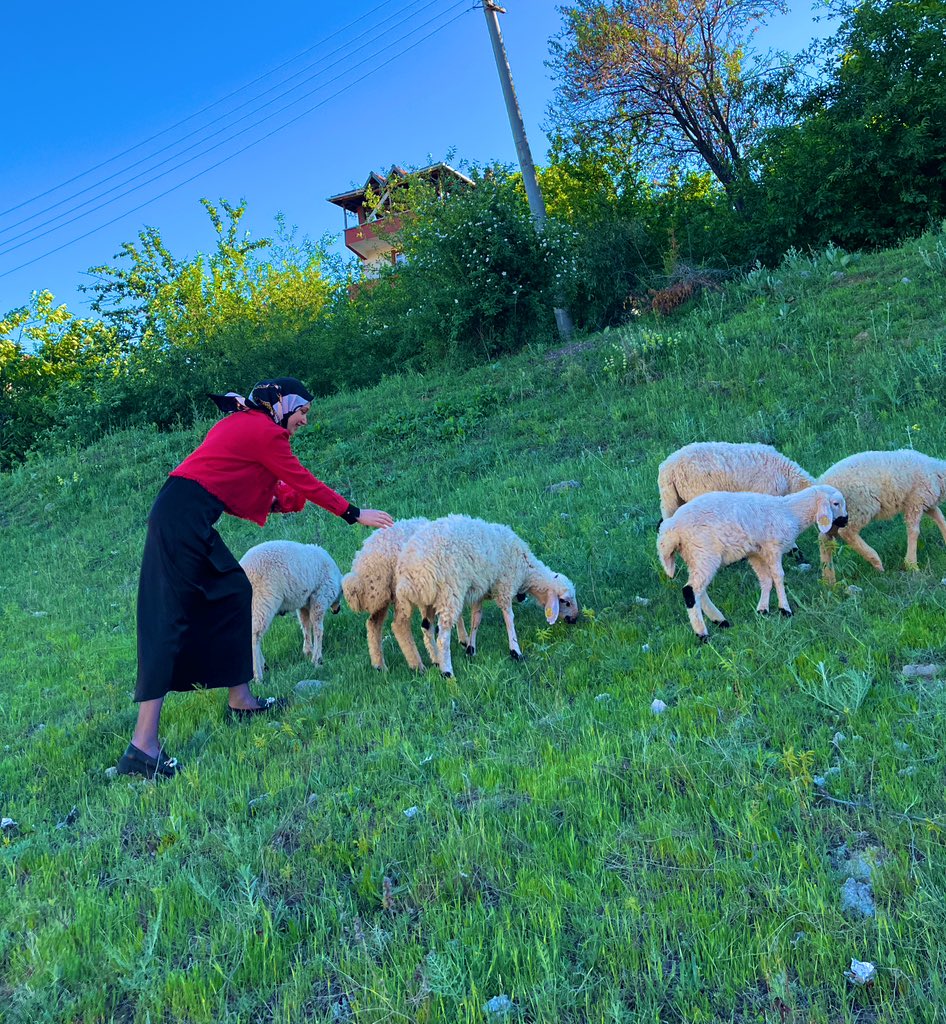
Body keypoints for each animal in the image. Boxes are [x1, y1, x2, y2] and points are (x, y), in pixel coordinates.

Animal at [238, 540, 341, 684]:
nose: (337, 610)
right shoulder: (319, 596)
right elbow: (318, 629)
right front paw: (317, 660)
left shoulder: (305, 603)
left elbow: (305, 626)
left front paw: (308, 651)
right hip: (262, 600)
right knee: (254, 635)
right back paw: (257, 676)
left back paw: (263, 667)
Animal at [389, 516, 577, 675]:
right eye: (564, 602)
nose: (575, 619)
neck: (526, 569)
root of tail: (408, 572)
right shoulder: (504, 586)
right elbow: (509, 618)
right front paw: (515, 651)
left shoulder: (479, 592)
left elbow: (476, 619)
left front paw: (471, 649)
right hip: (449, 594)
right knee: (443, 637)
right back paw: (447, 672)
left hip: (427, 600)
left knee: (426, 628)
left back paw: (436, 661)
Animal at [659, 481, 851, 638]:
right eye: (836, 503)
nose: (845, 521)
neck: (790, 512)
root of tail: (672, 528)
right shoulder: (773, 547)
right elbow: (778, 577)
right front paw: (785, 609)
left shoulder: (756, 553)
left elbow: (766, 580)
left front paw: (762, 610)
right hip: (704, 552)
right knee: (690, 591)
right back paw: (702, 634)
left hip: (694, 555)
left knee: (699, 591)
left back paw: (720, 621)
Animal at [814, 450, 946, 585]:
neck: (937, 472)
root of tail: (821, 482)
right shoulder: (916, 501)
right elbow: (914, 531)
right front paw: (912, 564)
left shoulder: (927, 503)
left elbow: (941, 519)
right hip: (860, 506)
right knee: (846, 532)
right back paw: (875, 560)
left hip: (837, 516)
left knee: (824, 538)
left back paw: (829, 580)